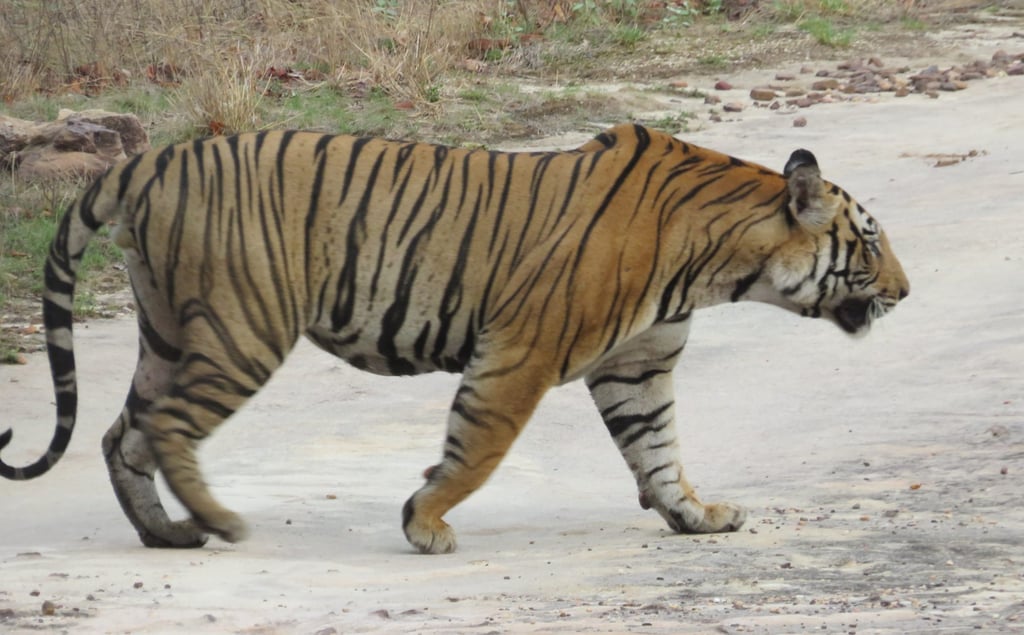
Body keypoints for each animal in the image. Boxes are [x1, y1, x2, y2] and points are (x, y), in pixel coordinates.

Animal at [0, 123, 909, 554]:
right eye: (869, 242)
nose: (906, 293)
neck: (721, 261)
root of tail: (148, 163)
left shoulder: (638, 364)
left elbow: (657, 449)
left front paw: (696, 515)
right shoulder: (522, 351)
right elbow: (479, 447)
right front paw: (425, 520)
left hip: (166, 329)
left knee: (123, 433)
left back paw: (169, 534)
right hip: (242, 327)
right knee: (165, 428)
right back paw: (221, 522)